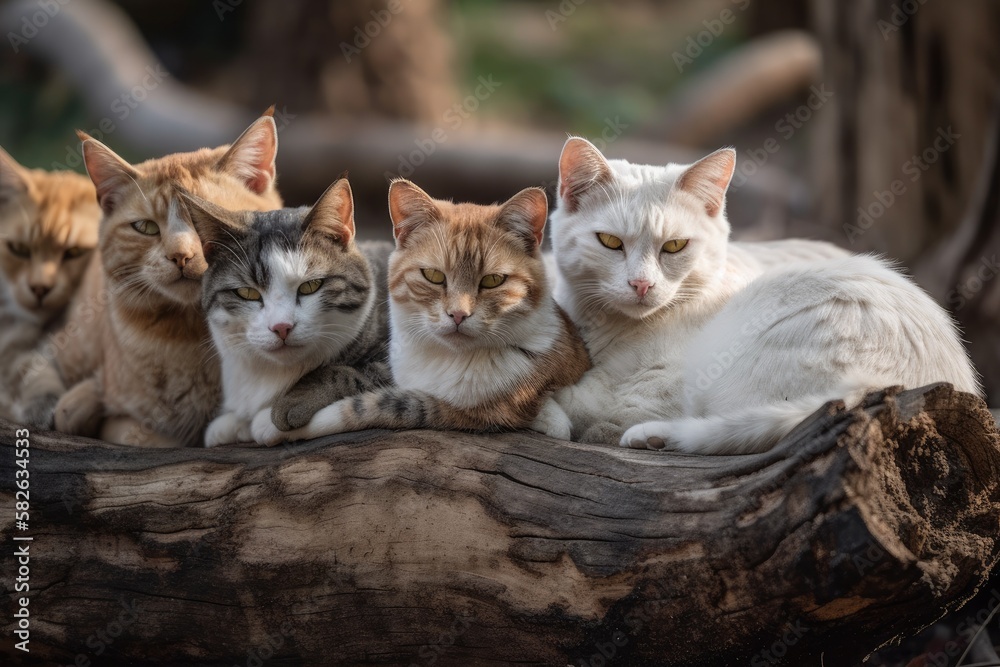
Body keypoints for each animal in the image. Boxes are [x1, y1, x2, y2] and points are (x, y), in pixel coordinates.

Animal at [182, 177, 392, 448]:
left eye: (311, 286)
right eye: (247, 293)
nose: (281, 327)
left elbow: (352, 371)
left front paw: (282, 408)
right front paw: (233, 424)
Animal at [254, 180, 588, 446]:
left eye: (493, 281)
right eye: (434, 276)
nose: (458, 315)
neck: (448, 360)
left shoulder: (470, 413)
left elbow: (372, 405)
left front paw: (266, 423)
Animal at [544, 139, 980, 456]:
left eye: (675, 246)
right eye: (610, 242)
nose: (641, 284)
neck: (606, 329)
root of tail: (895, 385)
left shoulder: (669, 381)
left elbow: (595, 398)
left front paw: (559, 411)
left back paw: (652, 436)